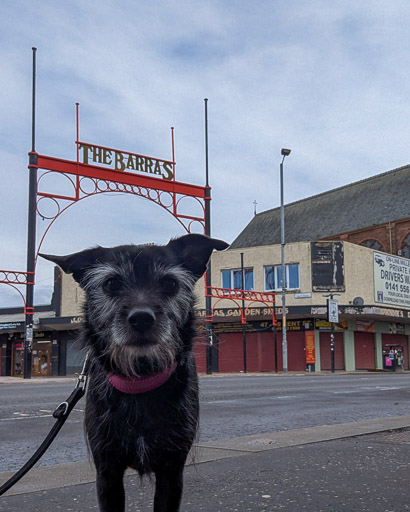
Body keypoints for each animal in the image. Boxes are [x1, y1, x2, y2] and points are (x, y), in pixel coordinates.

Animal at [41, 234, 227, 510]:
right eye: (111, 283)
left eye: (170, 283)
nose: (141, 318)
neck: (140, 379)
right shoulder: (107, 472)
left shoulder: (172, 470)